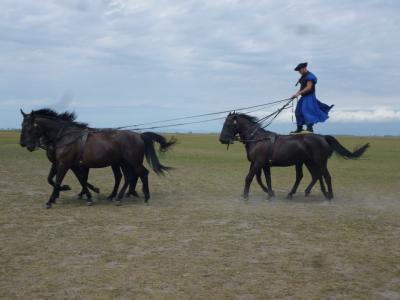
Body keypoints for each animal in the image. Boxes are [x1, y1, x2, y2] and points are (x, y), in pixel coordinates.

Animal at [19, 108, 174, 209]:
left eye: (29, 127)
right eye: (22, 125)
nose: (24, 144)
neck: (66, 136)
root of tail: (139, 135)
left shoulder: (64, 163)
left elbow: (58, 181)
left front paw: (50, 201)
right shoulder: (66, 164)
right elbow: (64, 179)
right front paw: (85, 195)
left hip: (132, 162)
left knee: (141, 174)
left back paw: (143, 197)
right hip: (123, 163)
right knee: (128, 177)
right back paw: (119, 197)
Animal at [219, 113, 368, 200]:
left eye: (228, 124)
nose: (222, 139)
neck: (257, 138)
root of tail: (323, 137)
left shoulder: (258, 163)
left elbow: (250, 177)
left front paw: (245, 195)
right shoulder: (263, 164)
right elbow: (265, 179)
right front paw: (270, 193)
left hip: (319, 162)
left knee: (325, 176)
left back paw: (329, 195)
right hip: (308, 162)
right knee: (314, 176)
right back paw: (302, 192)